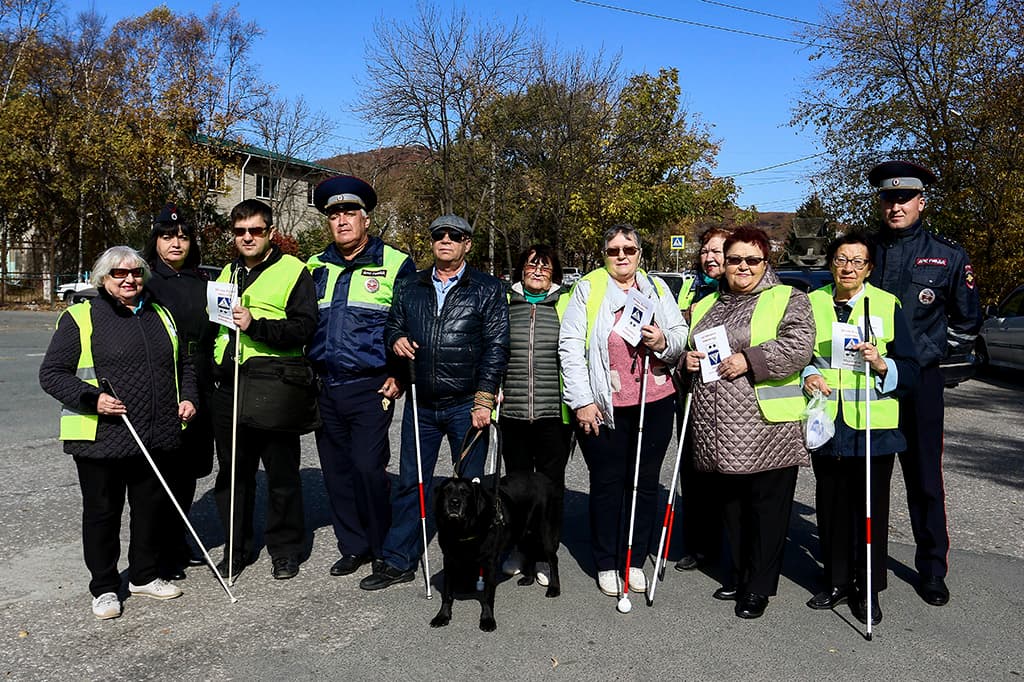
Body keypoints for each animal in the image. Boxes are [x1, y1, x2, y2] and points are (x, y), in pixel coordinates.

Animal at [430, 471, 565, 630]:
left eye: (466, 492)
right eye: (446, 491)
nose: (454, 502)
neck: (461, 530)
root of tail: (542, 476)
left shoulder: (490, 564)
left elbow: (488, 595)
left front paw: (487, 619)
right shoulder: (449, 560)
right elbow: (447, 593)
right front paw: (442, 616)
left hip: (546, 533)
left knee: (553, 560)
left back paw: (554, 588)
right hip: (522, 533)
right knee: (530, 552)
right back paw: (529, 579)